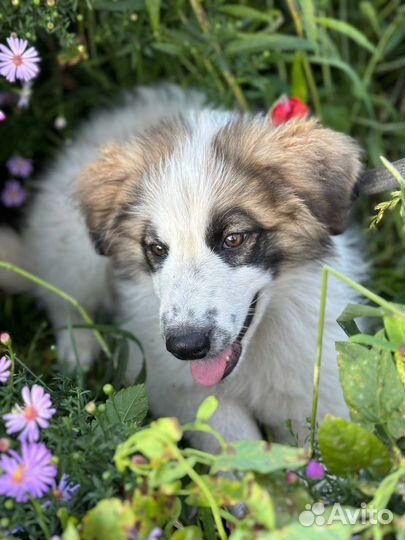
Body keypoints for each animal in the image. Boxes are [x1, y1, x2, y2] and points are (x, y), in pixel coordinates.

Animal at [0, 87, 366, 452]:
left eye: (233, 238)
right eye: (158, 249)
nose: (186, 347)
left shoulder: (318, 389)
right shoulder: (179, 389)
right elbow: (232, 442)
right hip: (73, 247)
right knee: (63, 298)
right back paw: (78, 351)